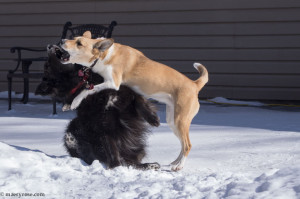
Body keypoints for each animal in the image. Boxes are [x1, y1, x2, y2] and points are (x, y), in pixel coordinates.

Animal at [59, 31, 207, 171]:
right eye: (73, 38)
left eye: (79, 43)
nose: (62, 40)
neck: (103, 55)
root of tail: (194, 85)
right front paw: (68, 104)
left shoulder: (113, 83)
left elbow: (87, 90)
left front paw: (75, 102)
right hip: (172, 121)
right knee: (183, 144)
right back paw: (175, 162)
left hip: (180, 121)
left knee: (188, 145)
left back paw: (179, 166)